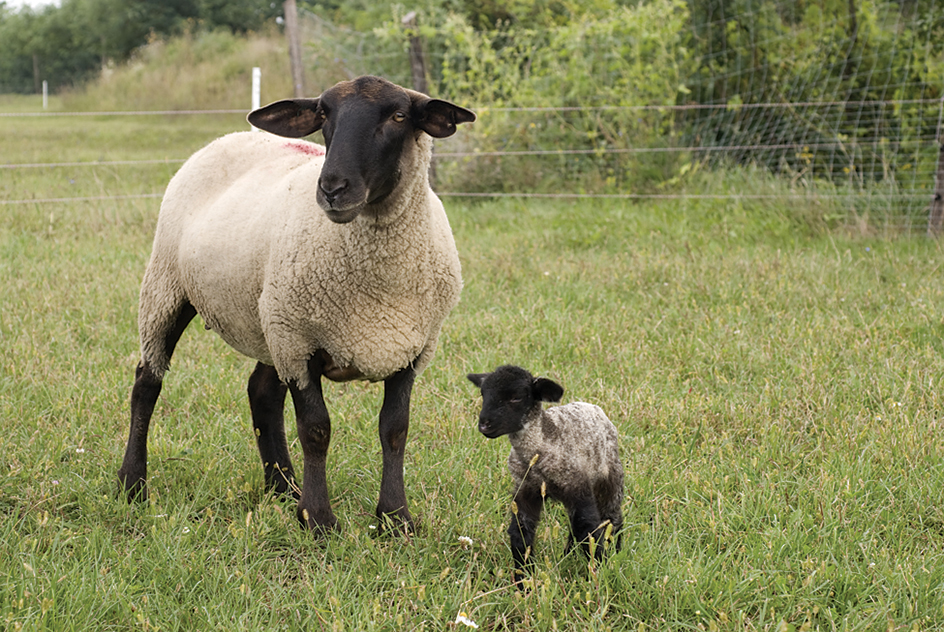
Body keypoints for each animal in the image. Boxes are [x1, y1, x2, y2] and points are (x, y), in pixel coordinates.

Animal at [117, 75, 476, 540]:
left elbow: (395, 430)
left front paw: (395, 519)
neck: (380, 285)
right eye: (324, 114)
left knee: (262, 393)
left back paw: (283, 487)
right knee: (147, 382)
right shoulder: (300, 345)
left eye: (399, 116)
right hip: (169, 287)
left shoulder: (410, 349)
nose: (332, 189)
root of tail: (232, 137)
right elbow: (316, 430)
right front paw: (319, 520)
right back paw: (132, 483)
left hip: (269, 317)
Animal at [466, 366, 628, 588]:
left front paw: (598, 572)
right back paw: (569, 553)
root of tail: (593, 407)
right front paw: (523, 581)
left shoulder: (579, 487)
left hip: (610, 478)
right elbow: (520, 533)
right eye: (483, 394)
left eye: (516, 397)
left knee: (612, 518)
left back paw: (615, 551)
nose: (484, 425)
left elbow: (588, 531)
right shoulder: (526, 491)